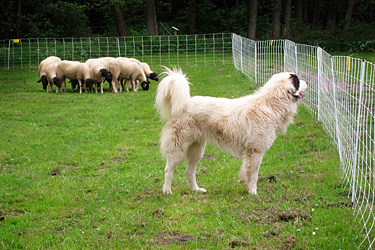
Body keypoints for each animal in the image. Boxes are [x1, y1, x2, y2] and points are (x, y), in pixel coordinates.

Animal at [156, 67, 308, 194]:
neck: (270, 105)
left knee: (189, 171)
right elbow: (253, 174)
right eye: (298, 80)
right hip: (178, 148)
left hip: (197, 150)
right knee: (168, 170)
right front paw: (253, 192)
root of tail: (183, 104)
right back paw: (167, 191)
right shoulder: (255, 151)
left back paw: (196, 190)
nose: (307, 82)